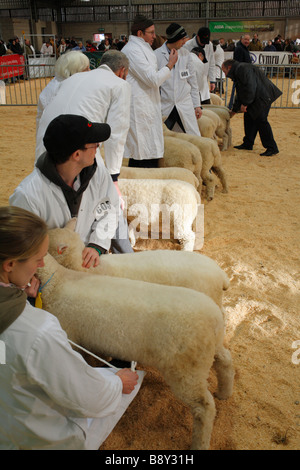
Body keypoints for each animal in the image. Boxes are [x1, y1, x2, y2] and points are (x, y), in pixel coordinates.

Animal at [37, 253, 234, 452]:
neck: (60, 281)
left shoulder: (71, 337)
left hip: (186, 371)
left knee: (204, 407)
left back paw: (200, 443)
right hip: (210, 350)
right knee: (225, 361)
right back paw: (224, 393)